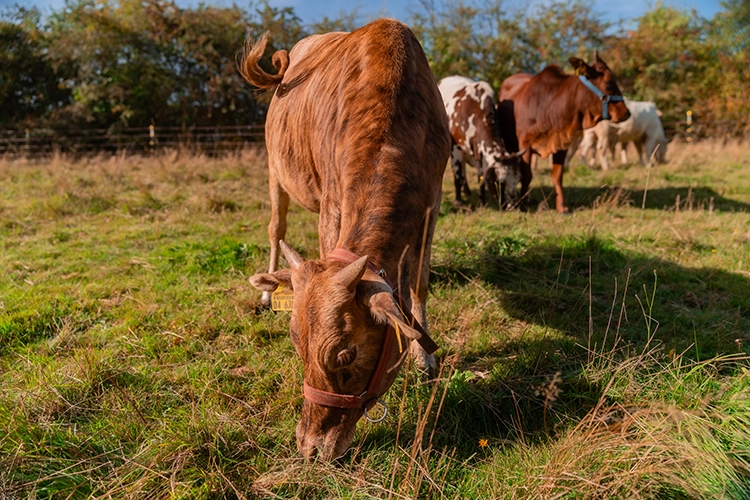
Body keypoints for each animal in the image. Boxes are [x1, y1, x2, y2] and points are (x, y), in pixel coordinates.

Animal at [438, 74, 524, 207]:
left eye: (518, 179)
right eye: (501, 182)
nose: (512, 206)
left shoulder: (481, 155)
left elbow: (481, 178)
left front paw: (482, 201)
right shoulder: (455, 148)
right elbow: (457, 176)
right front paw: (458, 201)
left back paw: (467, 191)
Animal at [502, 53, 632, 213]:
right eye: (608, 81)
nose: (626, 112)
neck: (550, 107)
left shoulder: (561, 144)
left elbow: (557, 176)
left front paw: (562, 207)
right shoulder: (525, 145)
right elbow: (526, 175)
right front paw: (523, 204)